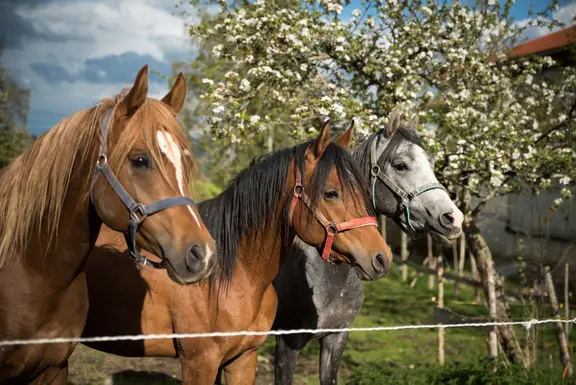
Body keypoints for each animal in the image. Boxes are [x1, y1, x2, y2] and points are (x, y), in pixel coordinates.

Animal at [80, 118, 392, 382]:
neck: (233, 277)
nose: (382, 258)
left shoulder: (243, 358)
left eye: (363, 191)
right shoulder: (200, 363)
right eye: (331, 193)